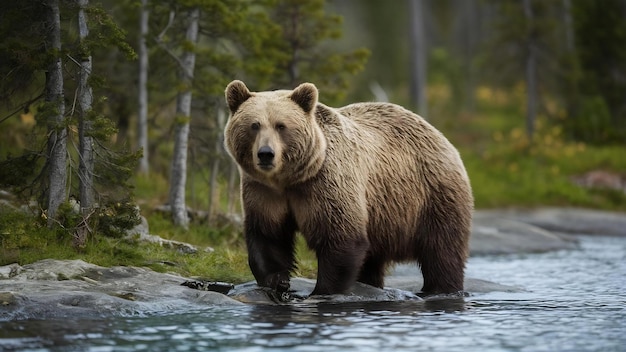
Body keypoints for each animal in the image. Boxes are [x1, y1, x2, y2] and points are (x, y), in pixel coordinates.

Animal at [222, 79, 470, 294]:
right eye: (254, 125)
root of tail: (438, 133)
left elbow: (340, 236)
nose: (266, 154)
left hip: (430, 195)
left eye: (281, 126)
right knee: (374, 258)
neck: (290, 179)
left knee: (442, 250)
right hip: (382, 215)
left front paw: (322, 291)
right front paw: (277, 281)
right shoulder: (264, 191)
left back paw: (441, 288)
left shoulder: (326, 183)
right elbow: (268, 234)